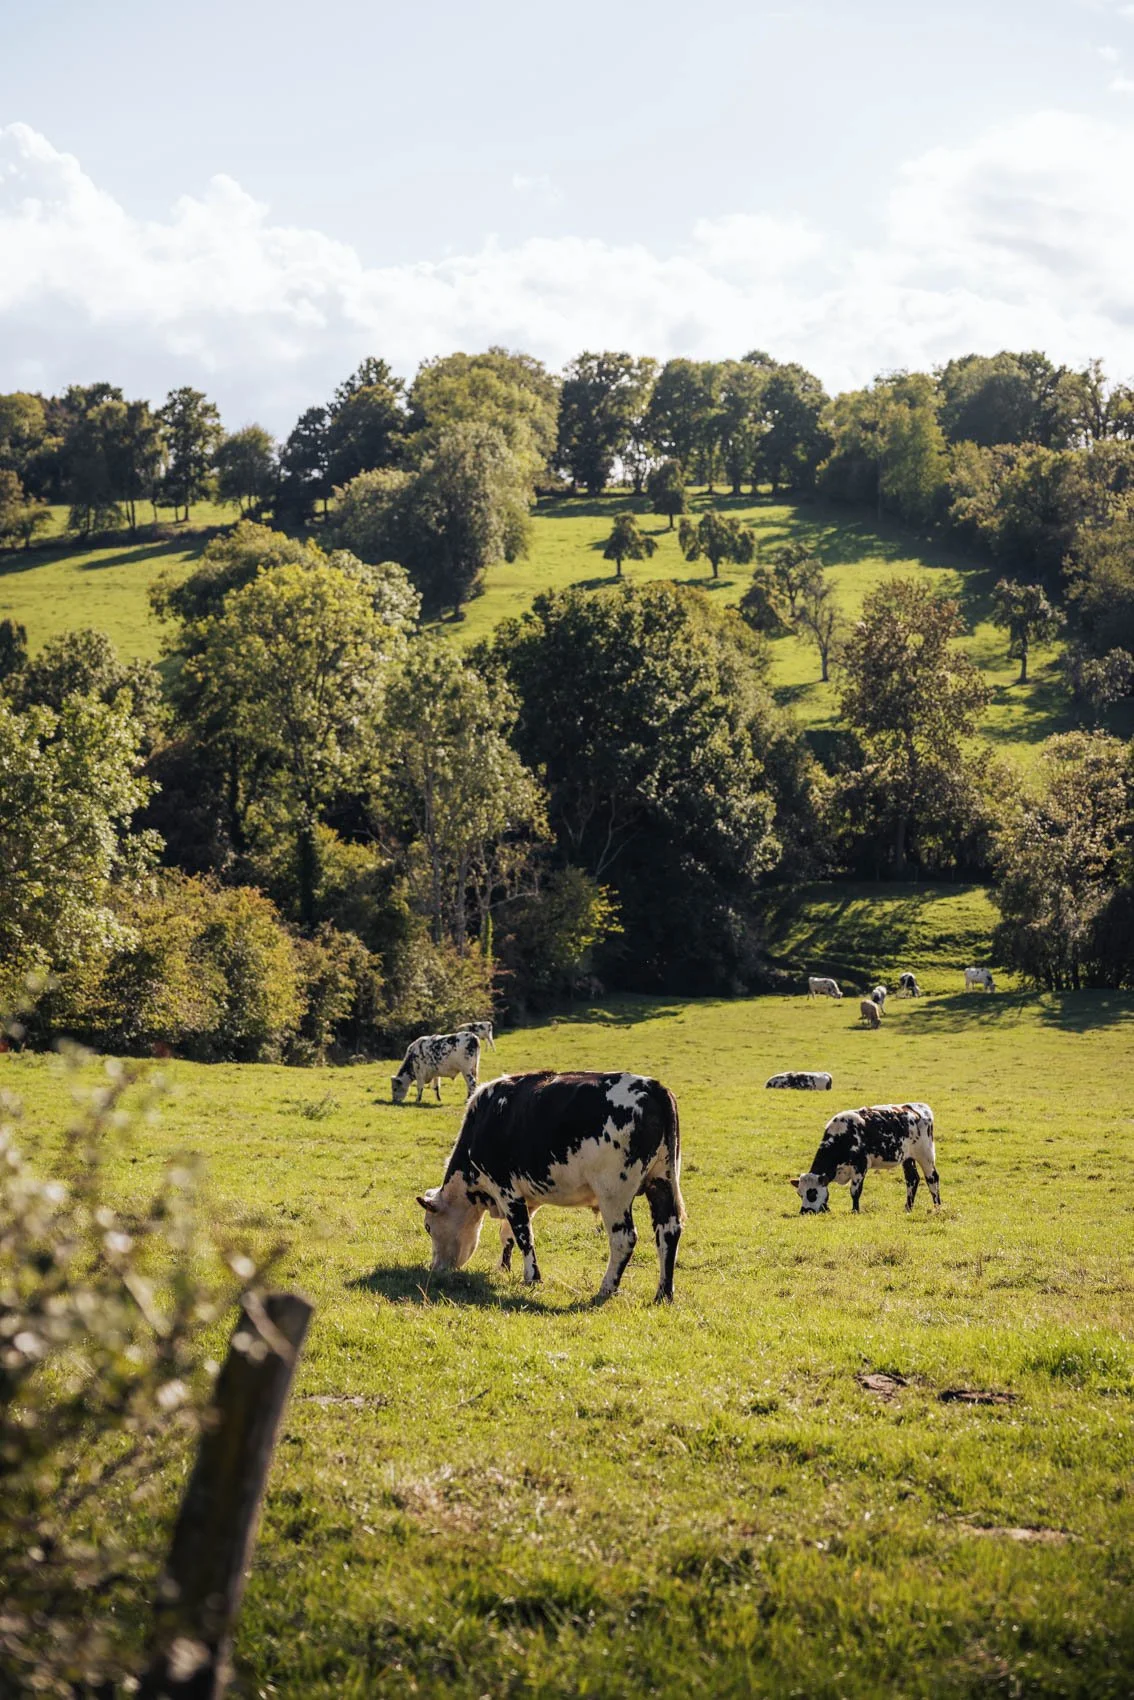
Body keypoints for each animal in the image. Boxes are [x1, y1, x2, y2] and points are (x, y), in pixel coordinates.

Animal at [415, 1071, 685, 1302]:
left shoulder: (506, 1189)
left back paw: (607, 1288)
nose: (435, 1268)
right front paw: (504, 1268)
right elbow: (508, 1234)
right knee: (668, 1232)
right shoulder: (528, 1198)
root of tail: (653, 1087)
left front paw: (532, 1278)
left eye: (428, 1227)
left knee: (624, 1238)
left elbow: (524, 1235)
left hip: (613, 1194)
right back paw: (664, 1293)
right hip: (662, 1180)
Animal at [791, 1102, 939, 1214]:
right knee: (912, 1179)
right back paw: (908, 1208)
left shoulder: (860, 1166)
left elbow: (855, 1191)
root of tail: (918, 1107)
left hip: (925, 1154)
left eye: (812, 1193)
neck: (844, 1136)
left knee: (932, 1178)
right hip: (907, 1157)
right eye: (799, 1193)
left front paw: (855, 1210)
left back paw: (937, 1208)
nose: (804, 1211)